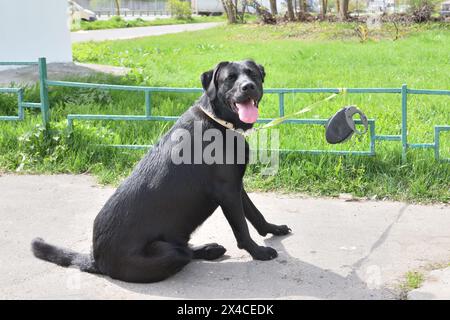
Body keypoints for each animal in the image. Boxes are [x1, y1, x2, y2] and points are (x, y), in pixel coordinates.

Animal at [32, 59, 292, 282]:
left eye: (253, 74)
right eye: (230, 78)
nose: (248, 87)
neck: (220, 122)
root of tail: (96, 259)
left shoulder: (236, 185)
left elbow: (255, 214)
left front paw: (273, 229)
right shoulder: (227, 191)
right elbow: (242, 227)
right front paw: (258, 252)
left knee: (186, 249)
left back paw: (209, 249)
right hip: (166, 252)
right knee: (183, 255)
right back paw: (206, 251)